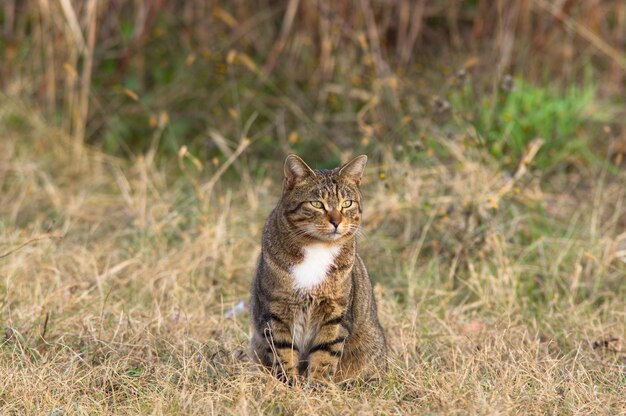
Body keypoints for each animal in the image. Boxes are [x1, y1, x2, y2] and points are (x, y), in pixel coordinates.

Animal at [249, 154, 386, 384]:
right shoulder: (275, 311)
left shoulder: (336, 313)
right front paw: (289, 384)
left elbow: (325, 353)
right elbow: (283, 351)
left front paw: (317, 385)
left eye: (347, 203)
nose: (336, 221)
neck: (317, 248)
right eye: (316, 204)